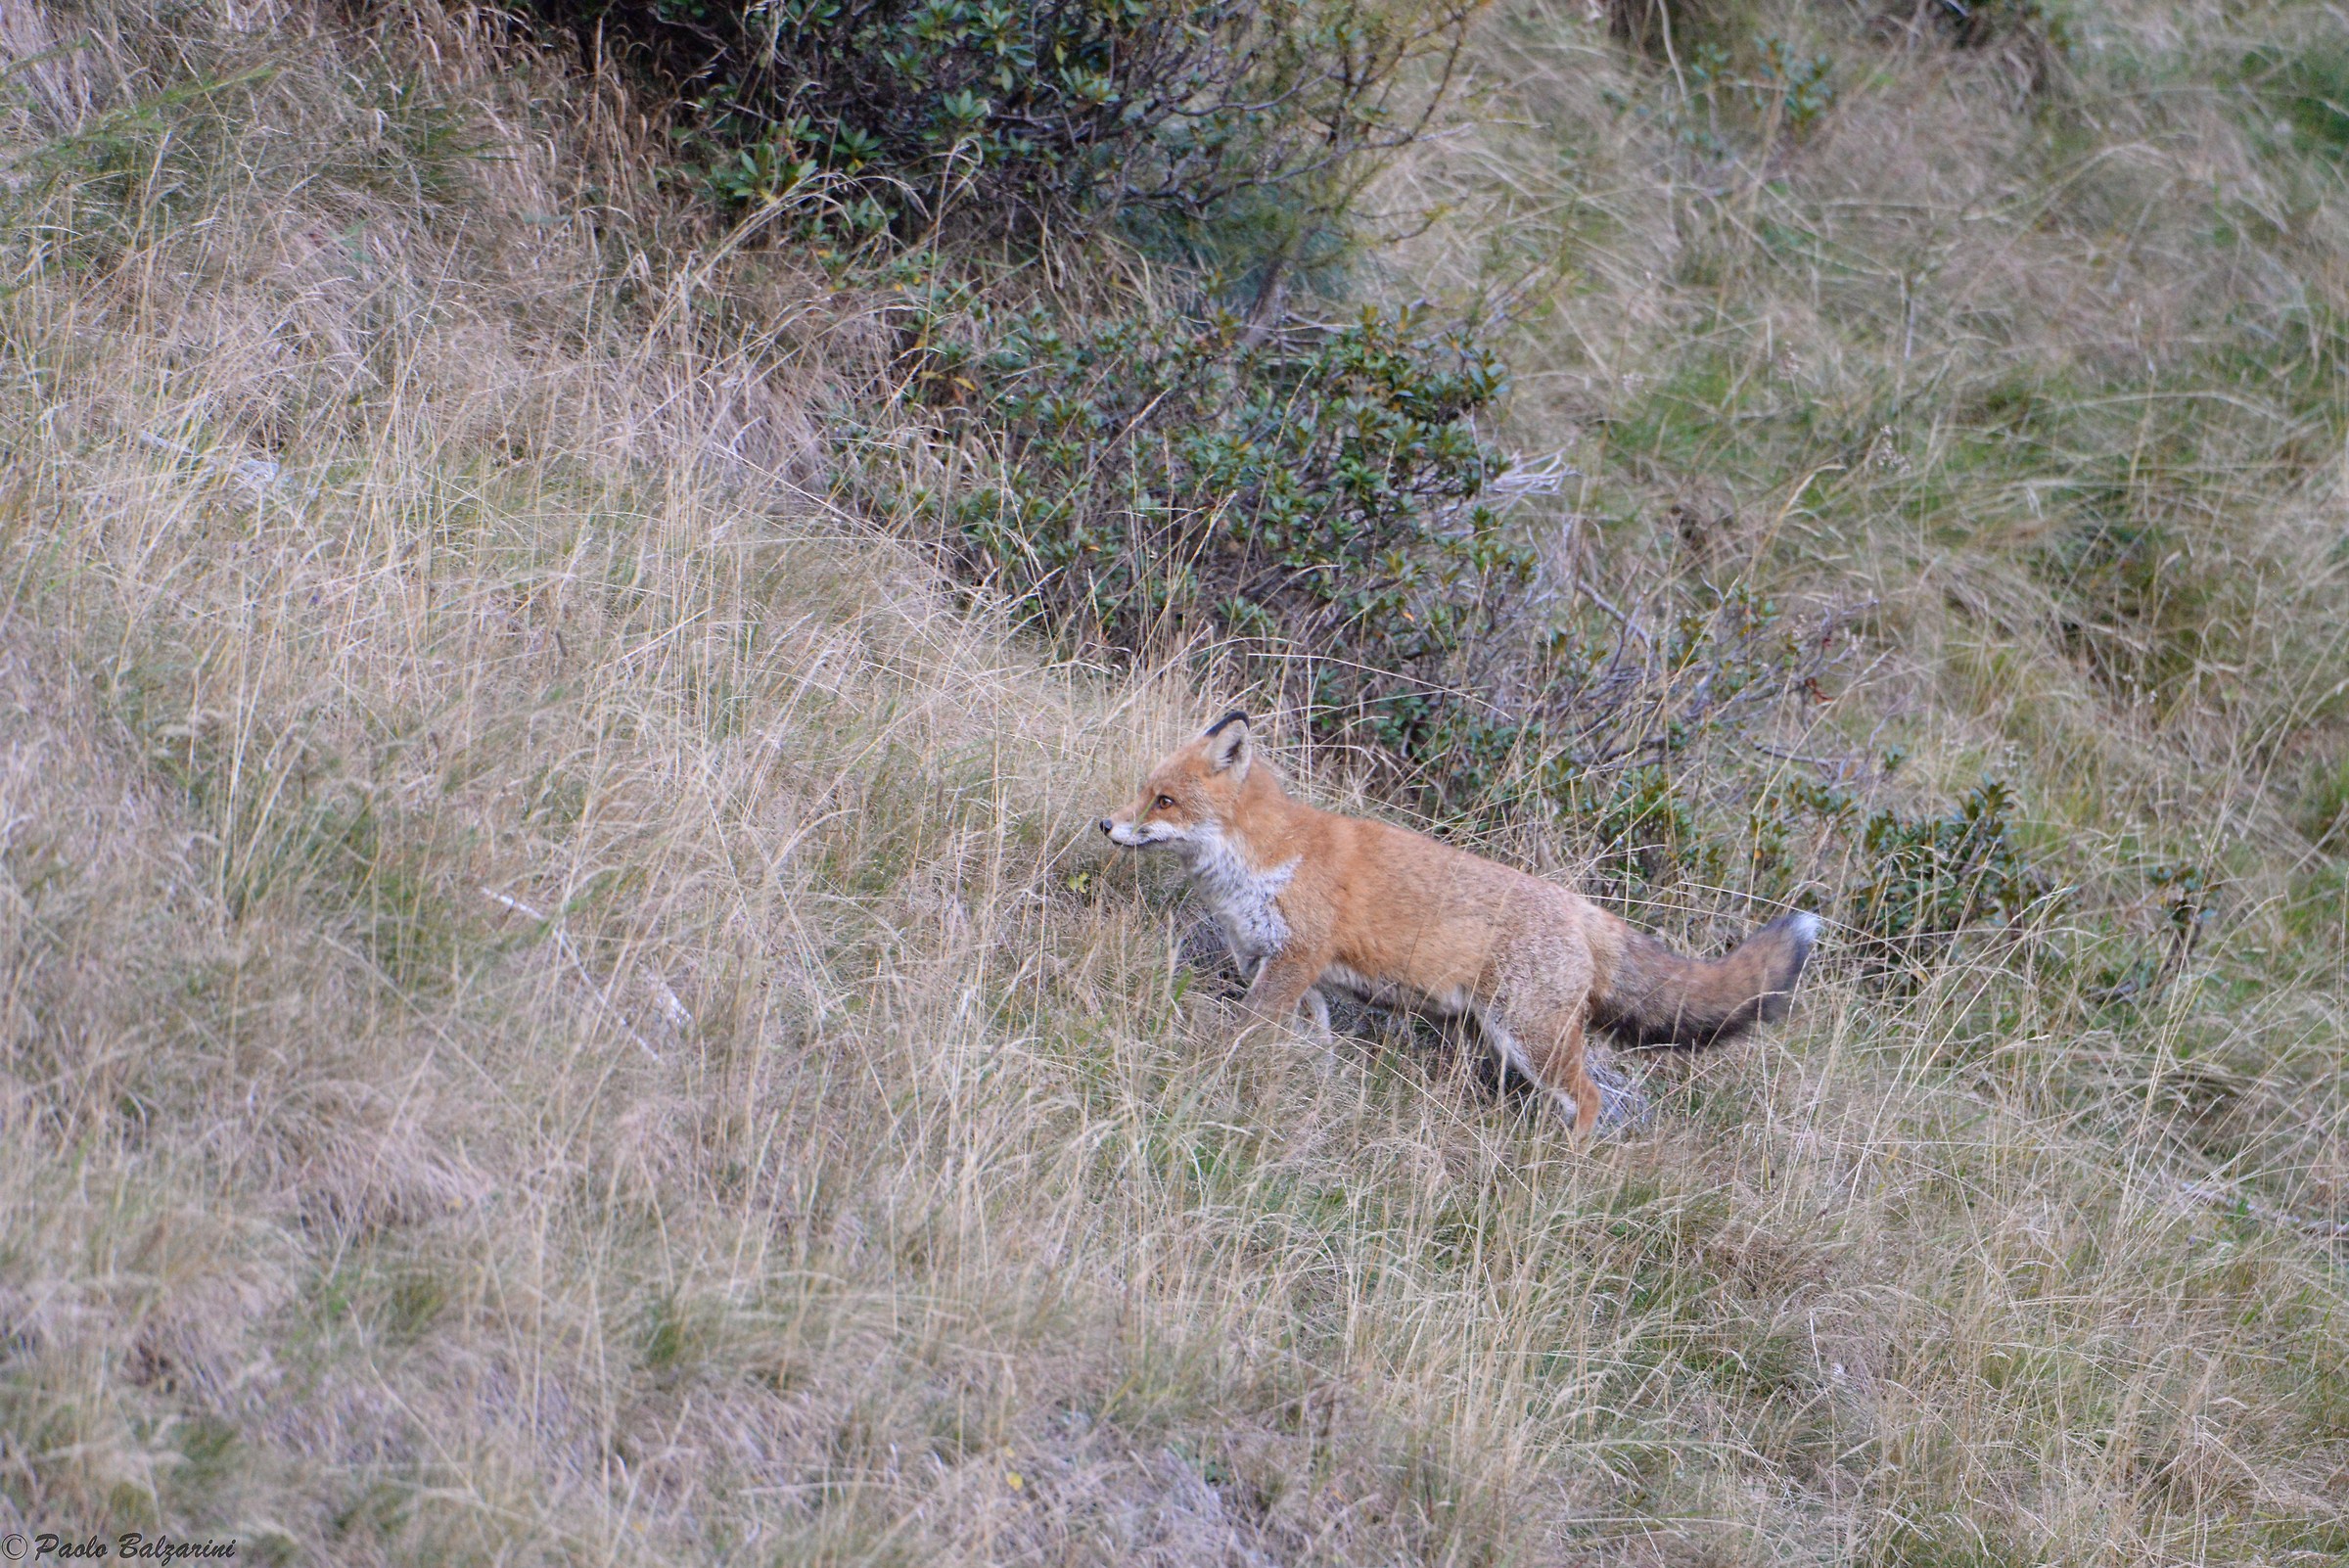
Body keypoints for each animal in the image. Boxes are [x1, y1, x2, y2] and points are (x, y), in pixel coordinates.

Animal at [1099, 712, 1819, 1135]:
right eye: (1143, 792)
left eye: (1165, 801)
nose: (1105, 824)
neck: (1268, 859)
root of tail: (1583, 908)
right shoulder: (1296, 979)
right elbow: (1316, 1050)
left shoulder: (1292, 964)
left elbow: (1241, 1035)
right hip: (1489, 1037)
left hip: (1532, 1040)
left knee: (1589, 1099)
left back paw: (1557, 1171)